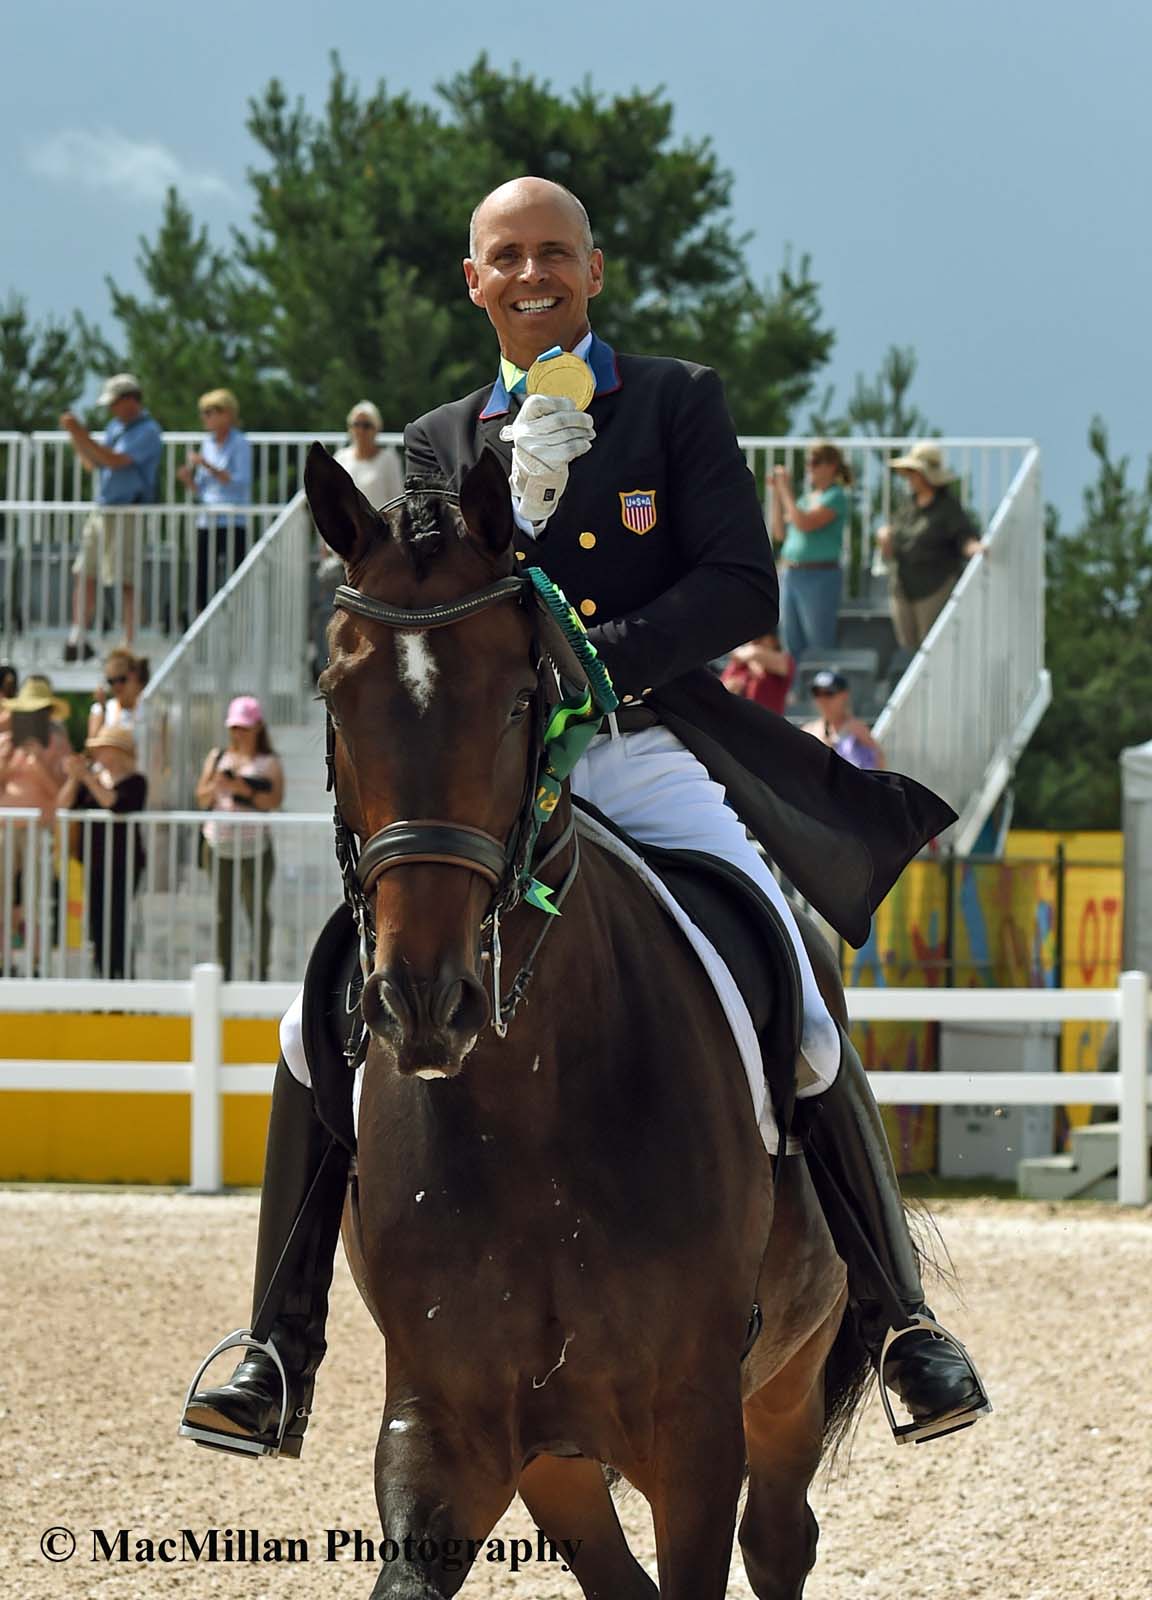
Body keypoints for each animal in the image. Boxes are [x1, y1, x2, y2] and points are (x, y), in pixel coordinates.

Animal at [305, 441, 864, 1600]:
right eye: (337, 697)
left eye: (523, 696)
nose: (423, 1000)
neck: (530, 1110)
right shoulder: (444, 1428)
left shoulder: (695, 1437)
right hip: (557, 1461)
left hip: (787, 1376)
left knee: (781, 1537)